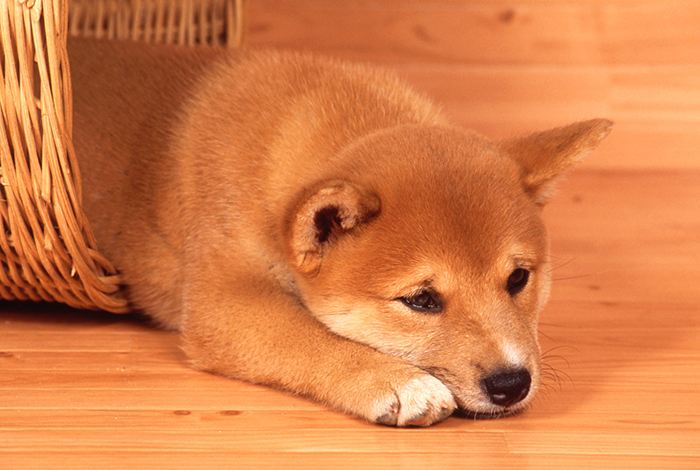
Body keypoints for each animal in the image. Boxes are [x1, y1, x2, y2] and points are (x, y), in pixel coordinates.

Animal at [68, 38, 608, 428]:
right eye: (421, 300)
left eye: (518, 279)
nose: (511, 384)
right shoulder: (223, 302)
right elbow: (308, 337)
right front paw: (396, 383)